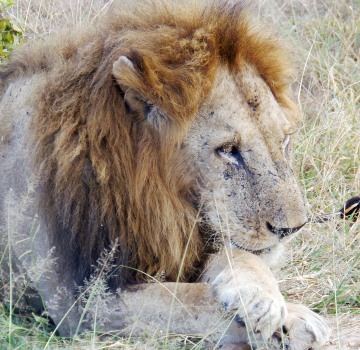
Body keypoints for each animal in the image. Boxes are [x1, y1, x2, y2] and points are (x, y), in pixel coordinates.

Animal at [0, 1, 330, 348]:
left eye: (285, 140)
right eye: (228, 149)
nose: (291, 229)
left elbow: (236, 256)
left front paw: (267, 301)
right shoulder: (82, 300)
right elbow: (188, 300)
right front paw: (284, 322)